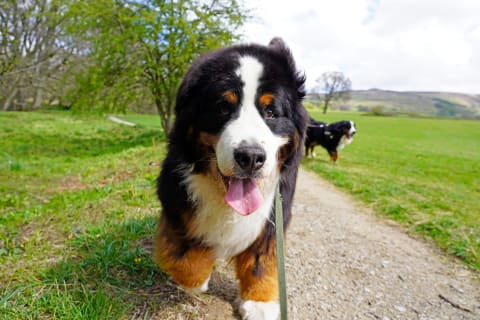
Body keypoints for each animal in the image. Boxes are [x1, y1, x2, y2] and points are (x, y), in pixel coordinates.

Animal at [154, 38, 308, 320]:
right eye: (223, 108)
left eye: (271, 112)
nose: (251, 156)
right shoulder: (175, 198)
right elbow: (183, 253)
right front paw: (195, 280)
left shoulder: (276, 211)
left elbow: (262, 258)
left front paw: (259, 302)